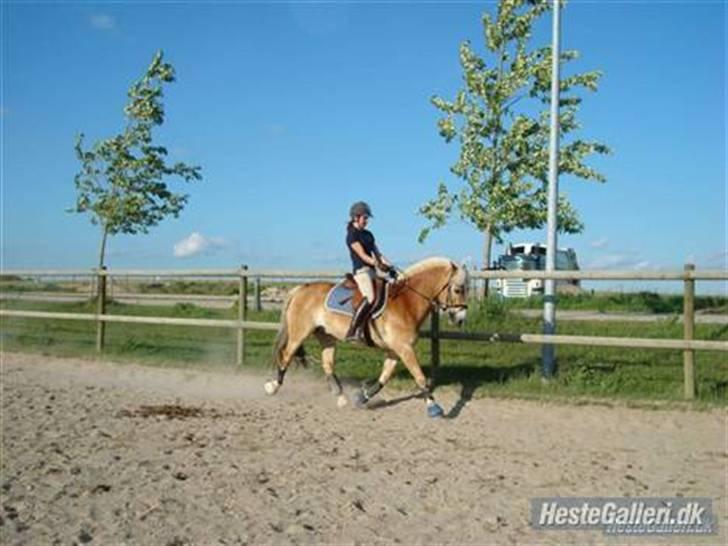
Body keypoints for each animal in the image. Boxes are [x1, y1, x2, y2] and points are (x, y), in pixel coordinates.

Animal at [264, 255, 470, 416]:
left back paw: (341, 399)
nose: (461, 319)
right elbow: (419, 376)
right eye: (458, 289)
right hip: (299, 333)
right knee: (286, 356)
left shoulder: (395, 351)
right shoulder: (404, 348)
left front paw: (361, 398)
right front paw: (433, 407)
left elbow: (383, 379)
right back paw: (272, 387)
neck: (407, 303)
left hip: (327, 337)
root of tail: (300, 288)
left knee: (327, 364)